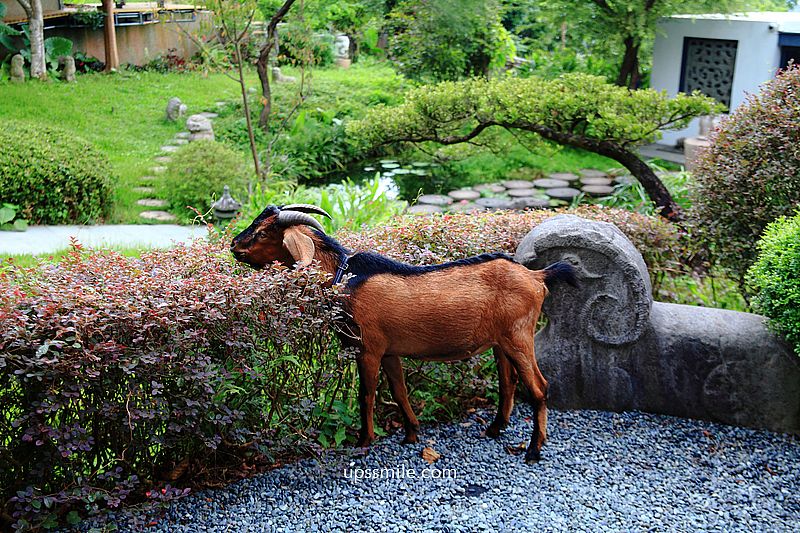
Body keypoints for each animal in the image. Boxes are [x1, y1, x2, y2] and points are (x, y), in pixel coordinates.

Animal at [231, 204, 576, 462]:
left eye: (263, 232)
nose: (234, 246)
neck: (345, 277)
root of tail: (536, 277)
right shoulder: (390, 351)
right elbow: (399, 390)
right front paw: (411, 433)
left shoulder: (368, 349)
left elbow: (366, 394)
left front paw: (364, 441)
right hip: (501, 340)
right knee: (508, 381)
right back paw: (494, 429)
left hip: (519, 336)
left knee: (539, 387)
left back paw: (533, 450)